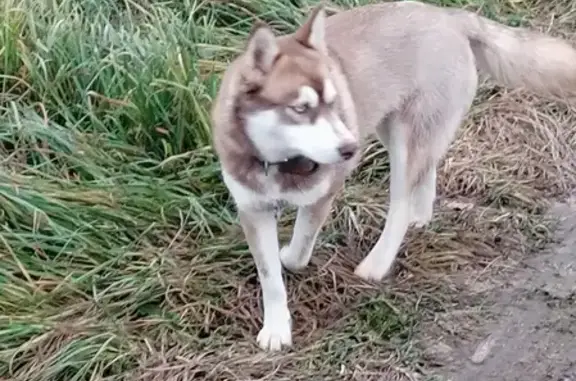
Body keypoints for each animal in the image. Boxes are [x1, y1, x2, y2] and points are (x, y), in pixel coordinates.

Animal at [209, 0, 576, 350]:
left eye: (333, 102)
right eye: (300, 108)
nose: (350, 148)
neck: (278, 162)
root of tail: (449, 16)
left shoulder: (324, 193)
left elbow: (298, 252)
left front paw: (288, 258)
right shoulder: (253, 209)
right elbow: (270, 278)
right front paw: (275, 329)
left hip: (404, 141)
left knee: (399, 206)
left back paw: (378, 262)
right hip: (396, 129)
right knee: (427, 170)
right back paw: (421, 214)